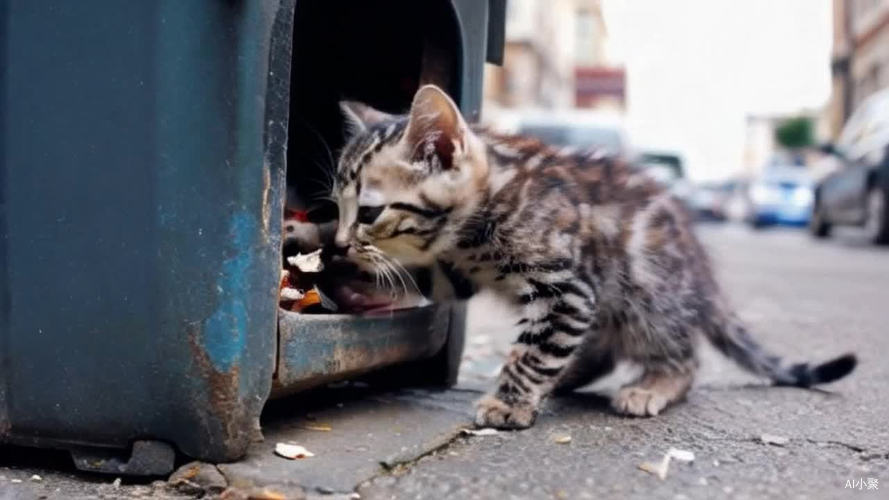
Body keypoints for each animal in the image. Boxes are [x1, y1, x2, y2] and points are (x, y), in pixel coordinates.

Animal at [330, 84, 856, 428]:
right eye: (337, 207)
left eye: (369, 211)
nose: (338, 243)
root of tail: (704, 279)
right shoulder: (464, 270)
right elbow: (431, 281)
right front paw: (350, 280)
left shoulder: (567, 290)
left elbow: (532, 352)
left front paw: (509, 403)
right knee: (600, 349)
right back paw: (570, 375)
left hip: (647, 293)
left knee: (683, 358)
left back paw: (652, 385)